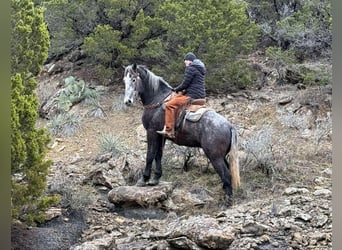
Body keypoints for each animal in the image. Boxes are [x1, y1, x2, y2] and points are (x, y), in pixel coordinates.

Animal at [123, 63, 240, 205]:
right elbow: (158, 155)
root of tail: (229, 126)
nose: (127, 101)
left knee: (226, 175)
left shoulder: (151, 132)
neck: (157, 99)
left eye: (134, 79)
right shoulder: (161, 135)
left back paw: (227, 201)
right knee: (228, 174)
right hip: (221, 156)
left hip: (215, 157)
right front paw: (155, 178)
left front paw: (143, 179)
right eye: (124, 80)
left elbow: (150, 155)